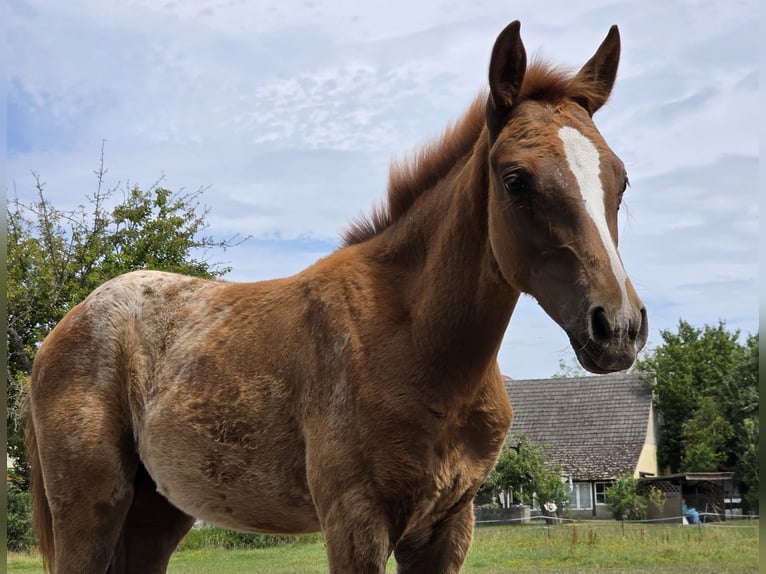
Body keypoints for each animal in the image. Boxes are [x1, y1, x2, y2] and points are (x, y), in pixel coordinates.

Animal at [25, 20, 647, 574]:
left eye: (620, 180)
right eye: (515, 179)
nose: (617, 327)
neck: (414, 343)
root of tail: (59, 332)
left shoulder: (449, 525)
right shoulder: (355, 520)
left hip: (156, 511)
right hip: (91, 507)